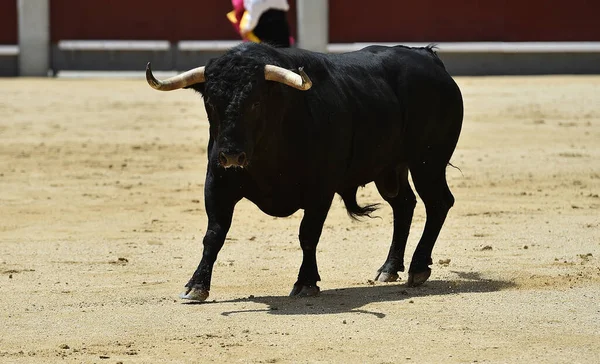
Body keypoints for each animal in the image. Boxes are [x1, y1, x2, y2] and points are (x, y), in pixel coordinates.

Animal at [146, 42, 464, 302]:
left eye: (256, 102)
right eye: (211, 102)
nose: (232, 155)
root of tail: (427, 56)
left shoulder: (320, 190)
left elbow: (308, 234)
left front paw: (306, 282)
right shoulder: (217, 183)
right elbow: (214, 234)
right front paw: (196, 285)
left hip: (428, 162)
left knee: (438, 203)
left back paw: (418, 267)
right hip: (389, 168)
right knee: (404, 204)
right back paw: (388, 268)